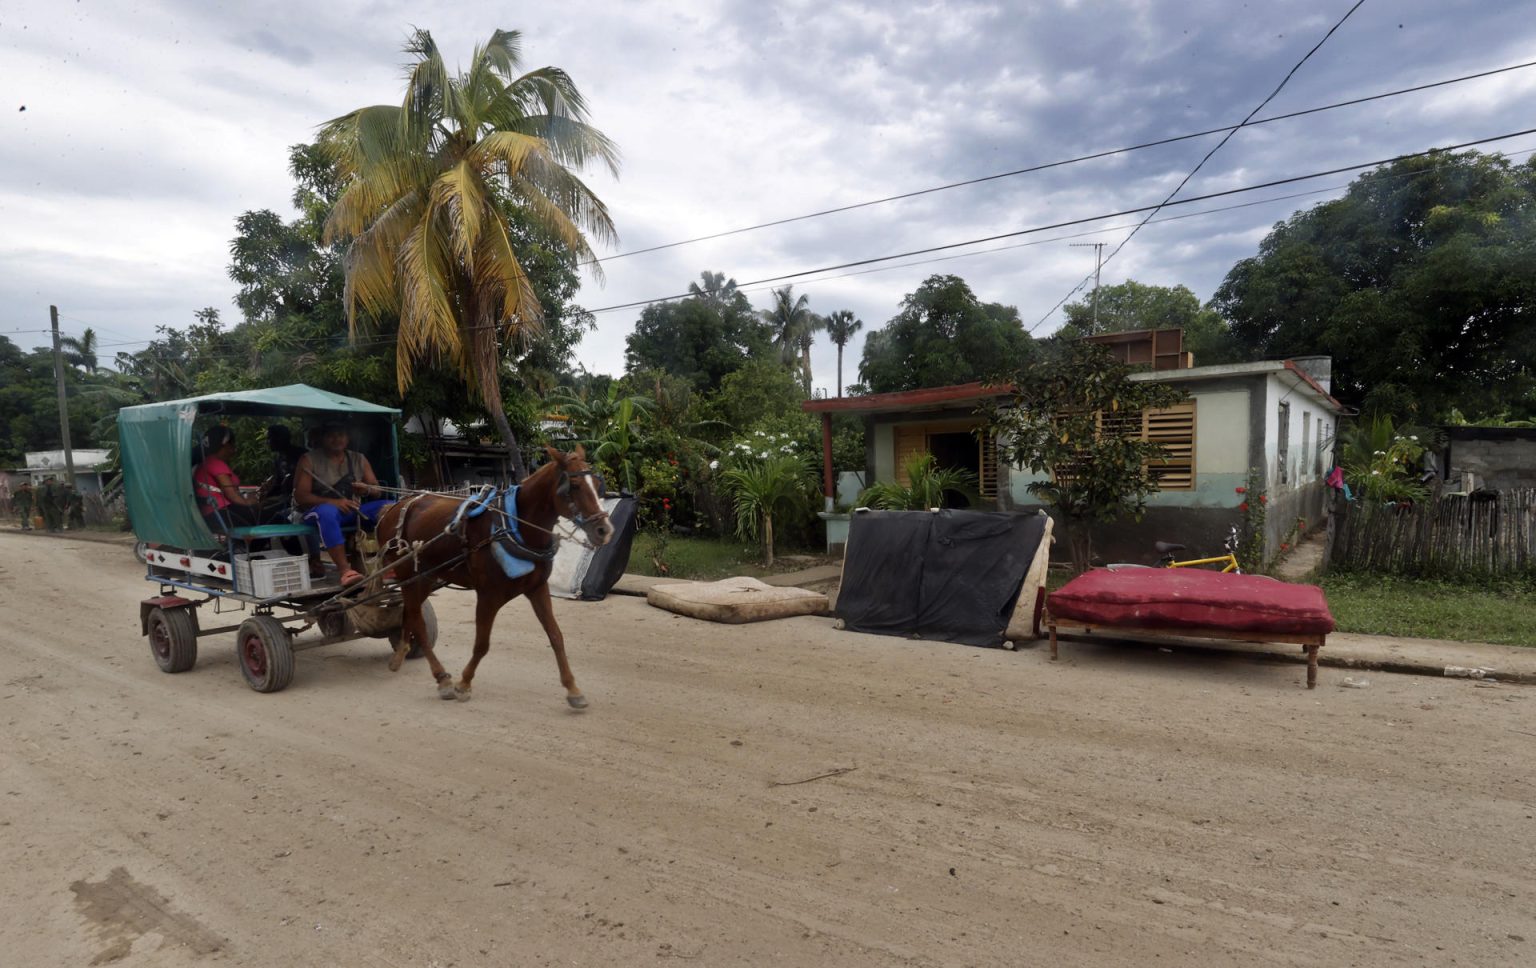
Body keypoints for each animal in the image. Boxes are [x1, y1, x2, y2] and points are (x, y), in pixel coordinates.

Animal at [371, 448, 611, 706]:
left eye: (598, 484)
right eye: (574, 485)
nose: (605, 530)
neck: (514, 526)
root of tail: (392, 508)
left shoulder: (537, 588)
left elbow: (556, 636)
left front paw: (573, 689)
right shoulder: (488, 595)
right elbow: (482, 644)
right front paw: (464, 683)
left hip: (425, 577)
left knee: (410, 611)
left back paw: (401, 653)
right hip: (408, 574)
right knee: (418, 620)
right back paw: (442, 678)